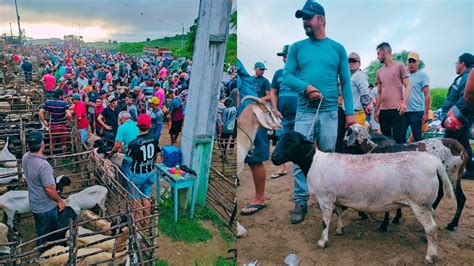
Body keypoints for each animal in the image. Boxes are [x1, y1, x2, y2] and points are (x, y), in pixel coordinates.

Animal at [270, 130, 456, 262]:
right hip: (426, 202)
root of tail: (434, 163)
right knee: (433, 219)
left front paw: (323, 242)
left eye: (292, 142)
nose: (274, 157)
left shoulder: (325, 197)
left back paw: (431, 256)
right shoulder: (337, 196)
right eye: (279, 141)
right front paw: (340, 229)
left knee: (431, 228)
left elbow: (325, 221)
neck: (314, 163)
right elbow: (338, 212)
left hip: (419, 203)